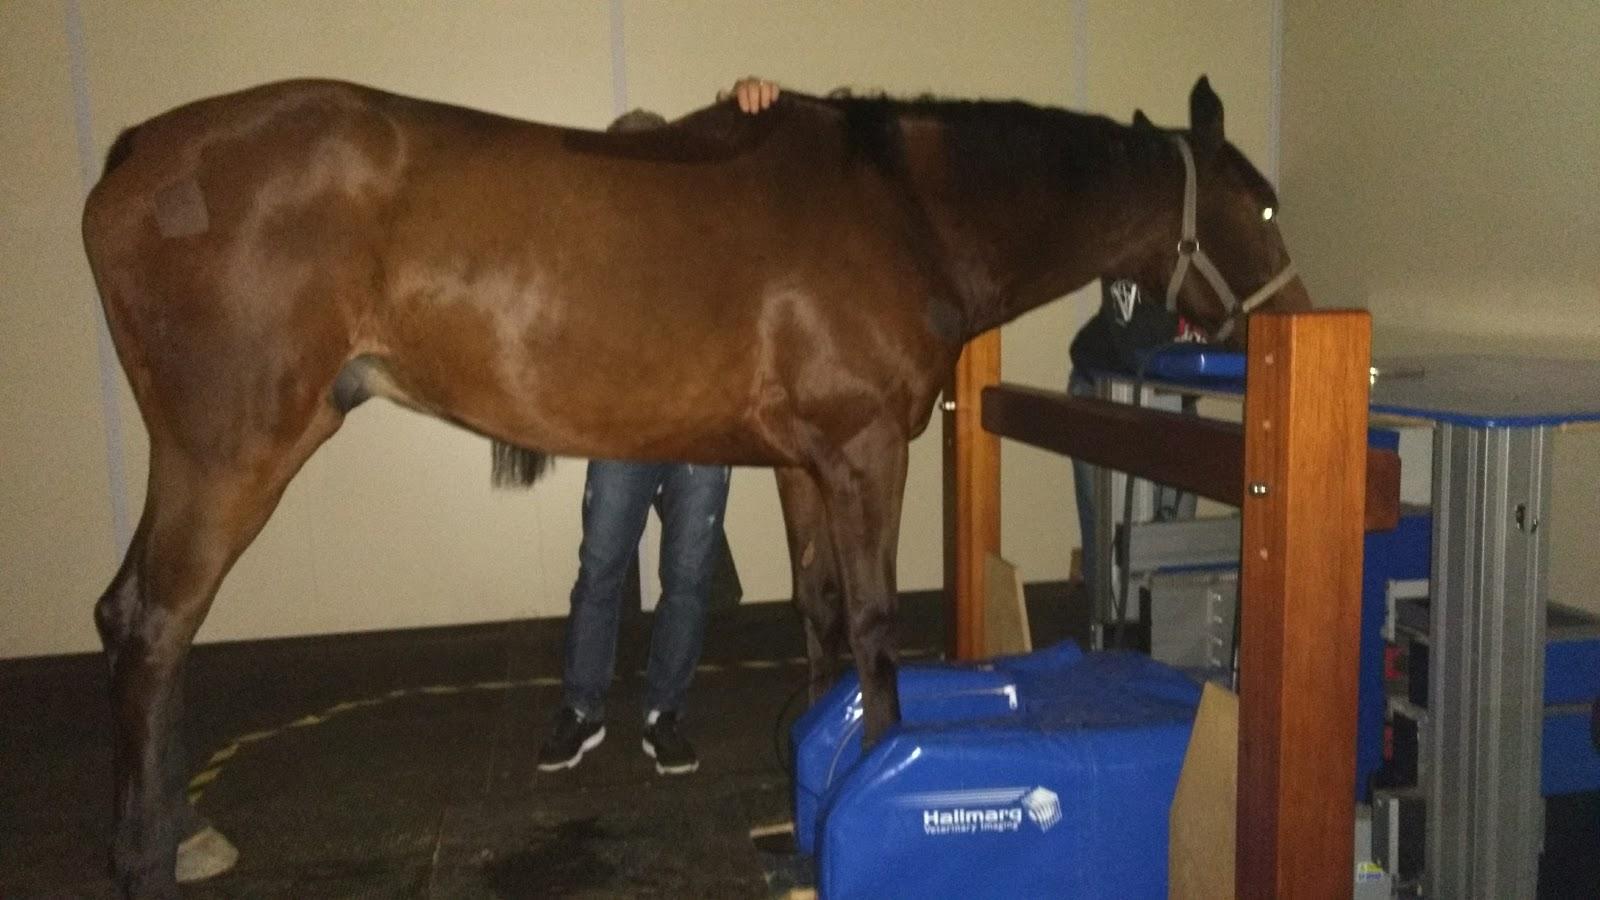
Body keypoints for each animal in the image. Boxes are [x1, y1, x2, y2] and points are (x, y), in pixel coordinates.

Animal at [81, 74, 1306, 895]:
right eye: (1259, 207)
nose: (1294, 323)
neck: (900, 205)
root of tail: (139, 154)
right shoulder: (866, 450)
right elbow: (872, 625)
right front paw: (880, 772)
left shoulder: (807, 463)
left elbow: (822, 620)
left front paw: (815, 798)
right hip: (233, 452)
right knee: (154, 621)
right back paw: (145, 856)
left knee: (140, 619)